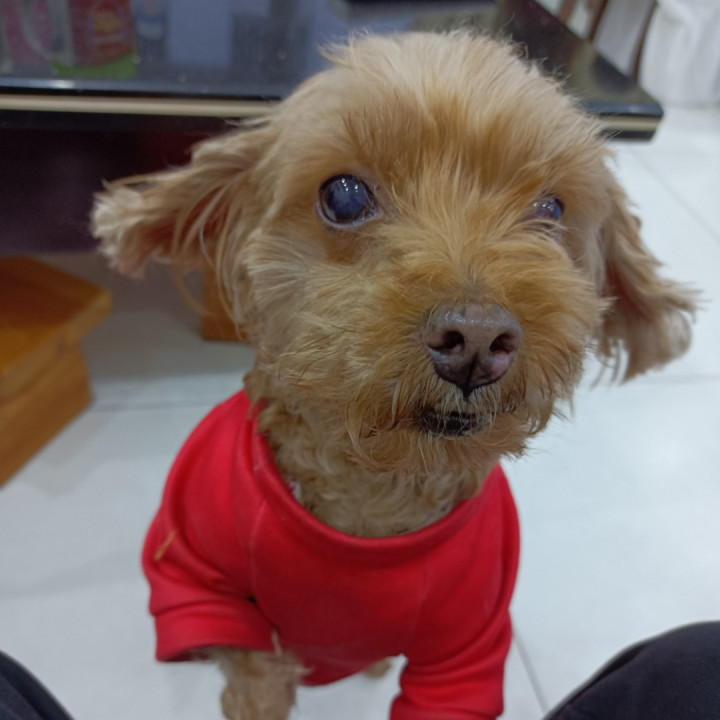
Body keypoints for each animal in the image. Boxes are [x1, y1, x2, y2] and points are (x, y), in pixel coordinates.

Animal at [91, 31, 696, 720]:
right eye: (344, 196)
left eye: (551, 208)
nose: (477, 339)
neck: (371, 510)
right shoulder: (196, 578)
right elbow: (254, 676)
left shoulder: (468, 649)